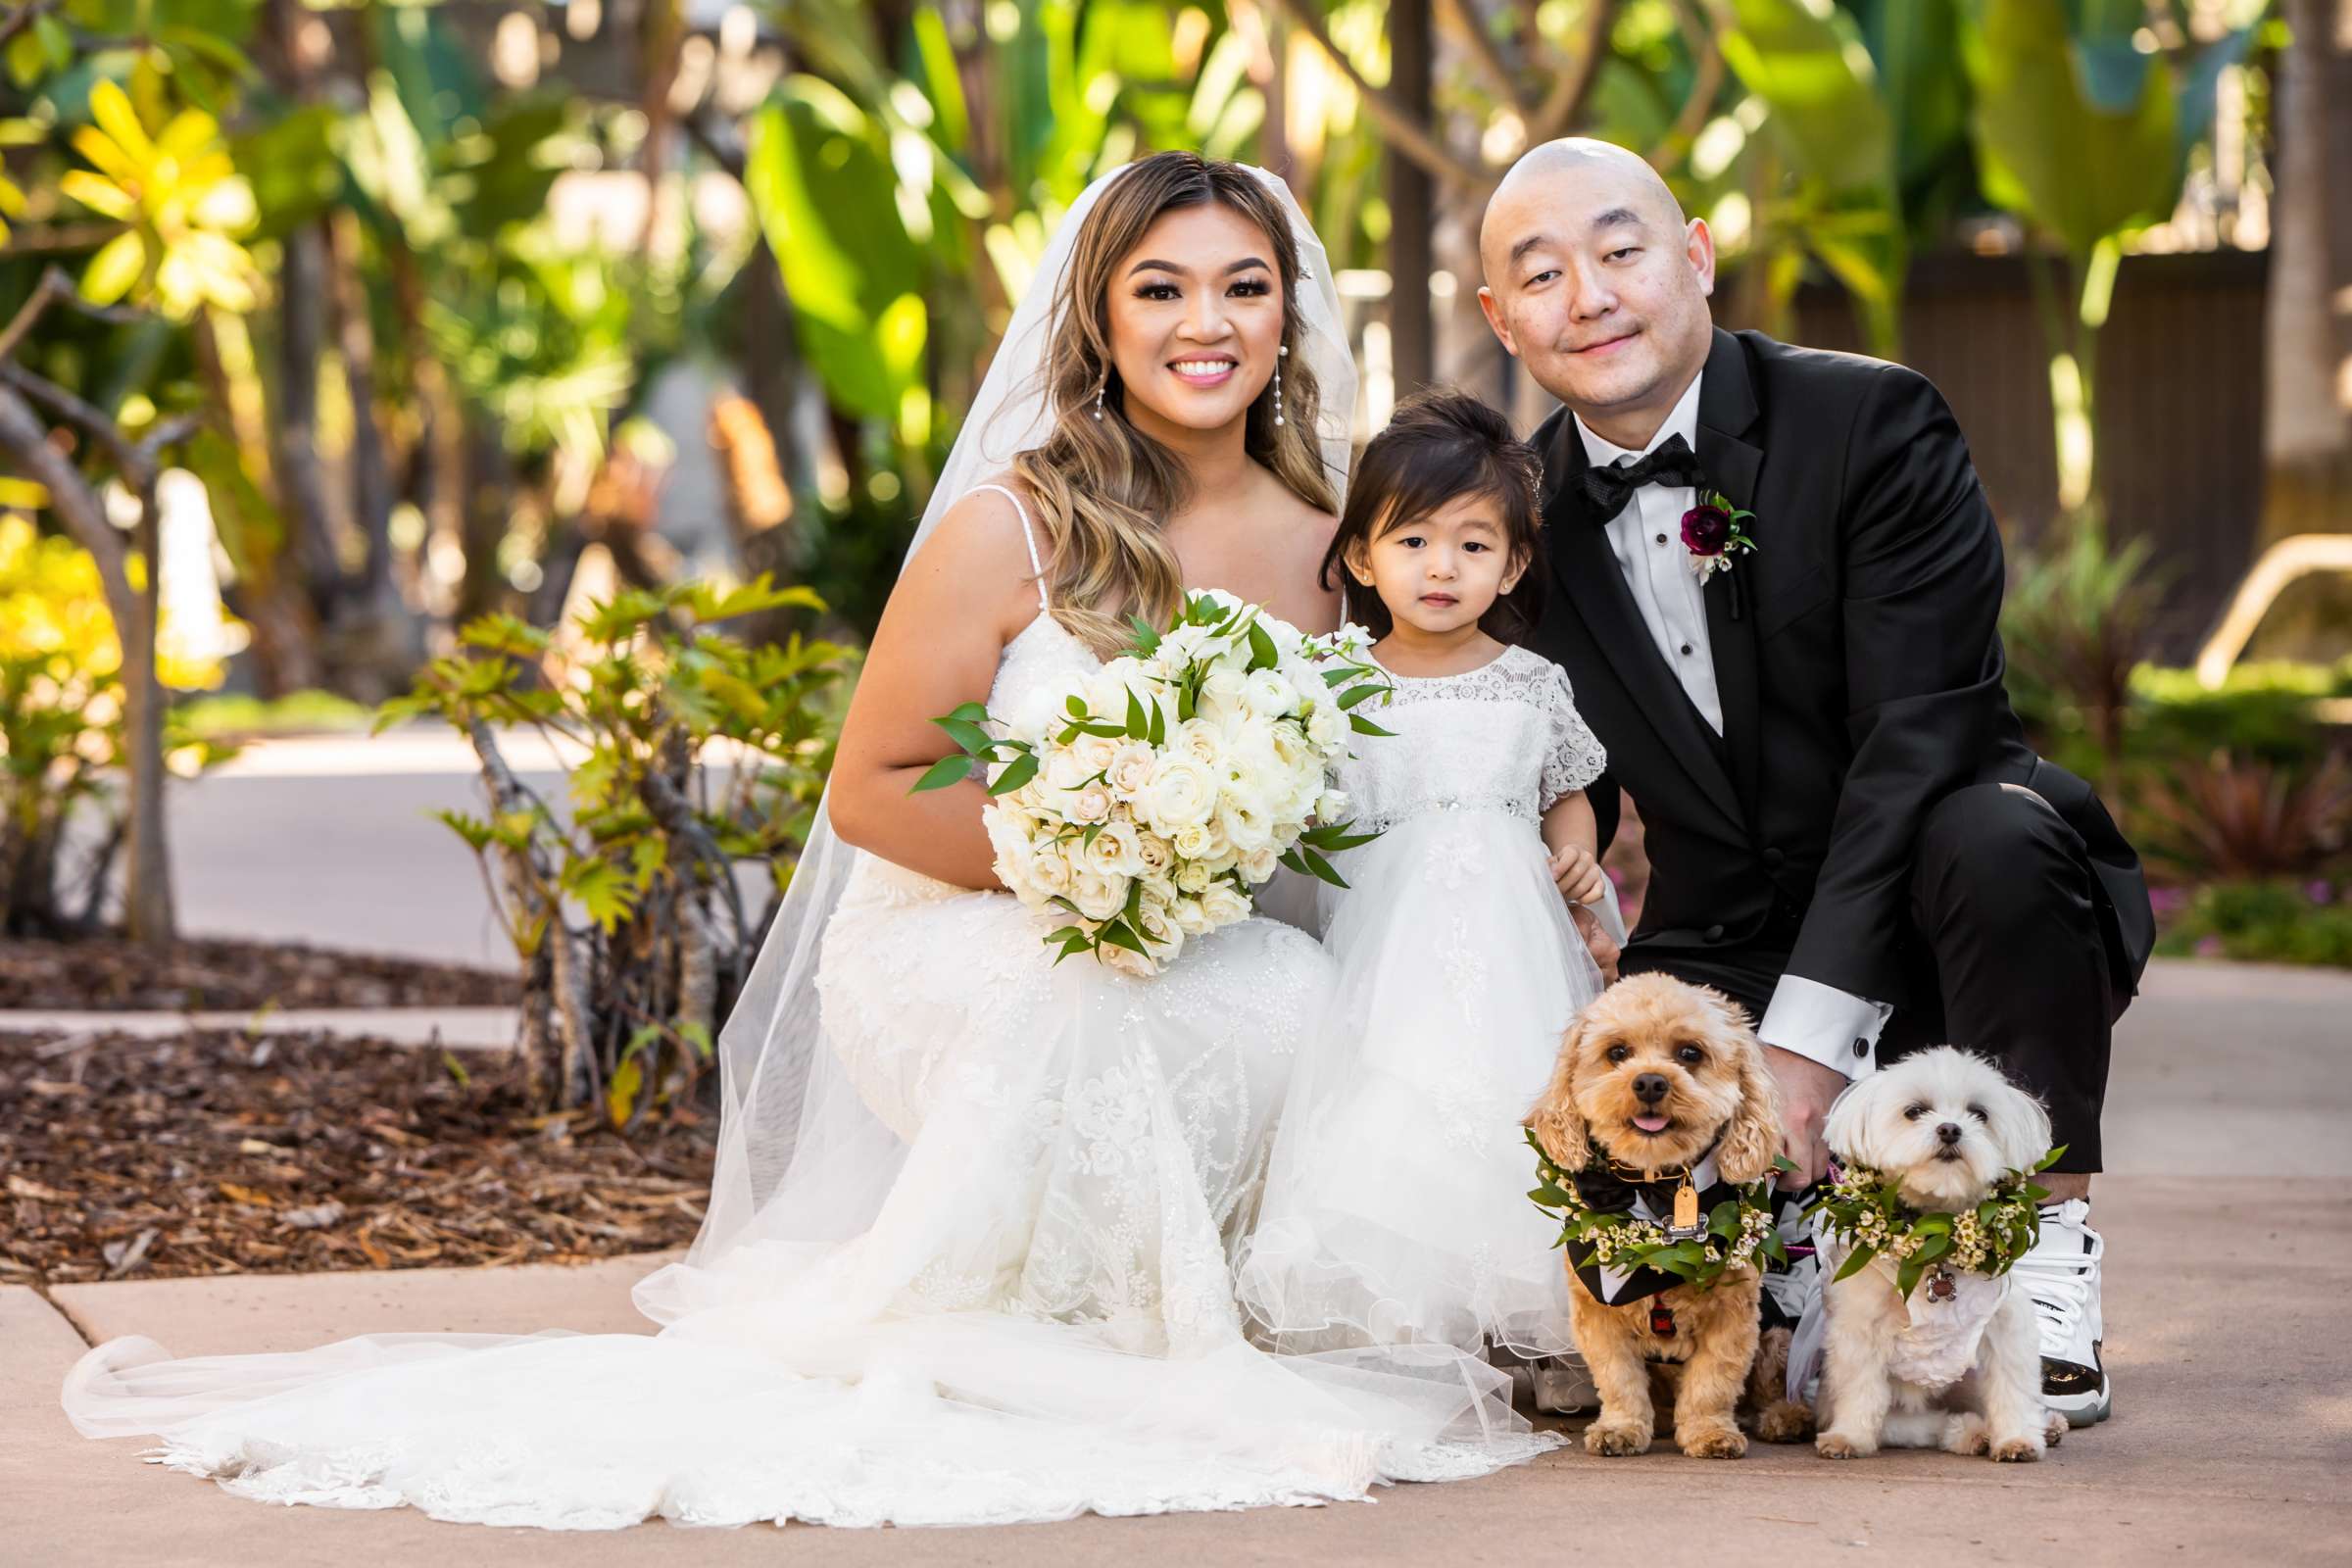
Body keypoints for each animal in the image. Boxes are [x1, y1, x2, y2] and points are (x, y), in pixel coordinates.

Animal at [1806, 1048, 2070, 1466]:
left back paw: (2043, 1426)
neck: (1936, 1236)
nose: (1950, 1129)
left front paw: (2017, 1439)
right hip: (1900, 1410)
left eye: (1979, 1113)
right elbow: (1860, 1388)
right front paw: (1848, 1436)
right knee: (1924, 1425)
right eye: (1914, 1111)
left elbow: (2012, 1387)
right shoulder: (1858, 1331)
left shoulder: (2006, 1324)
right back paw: (1971, 1433)